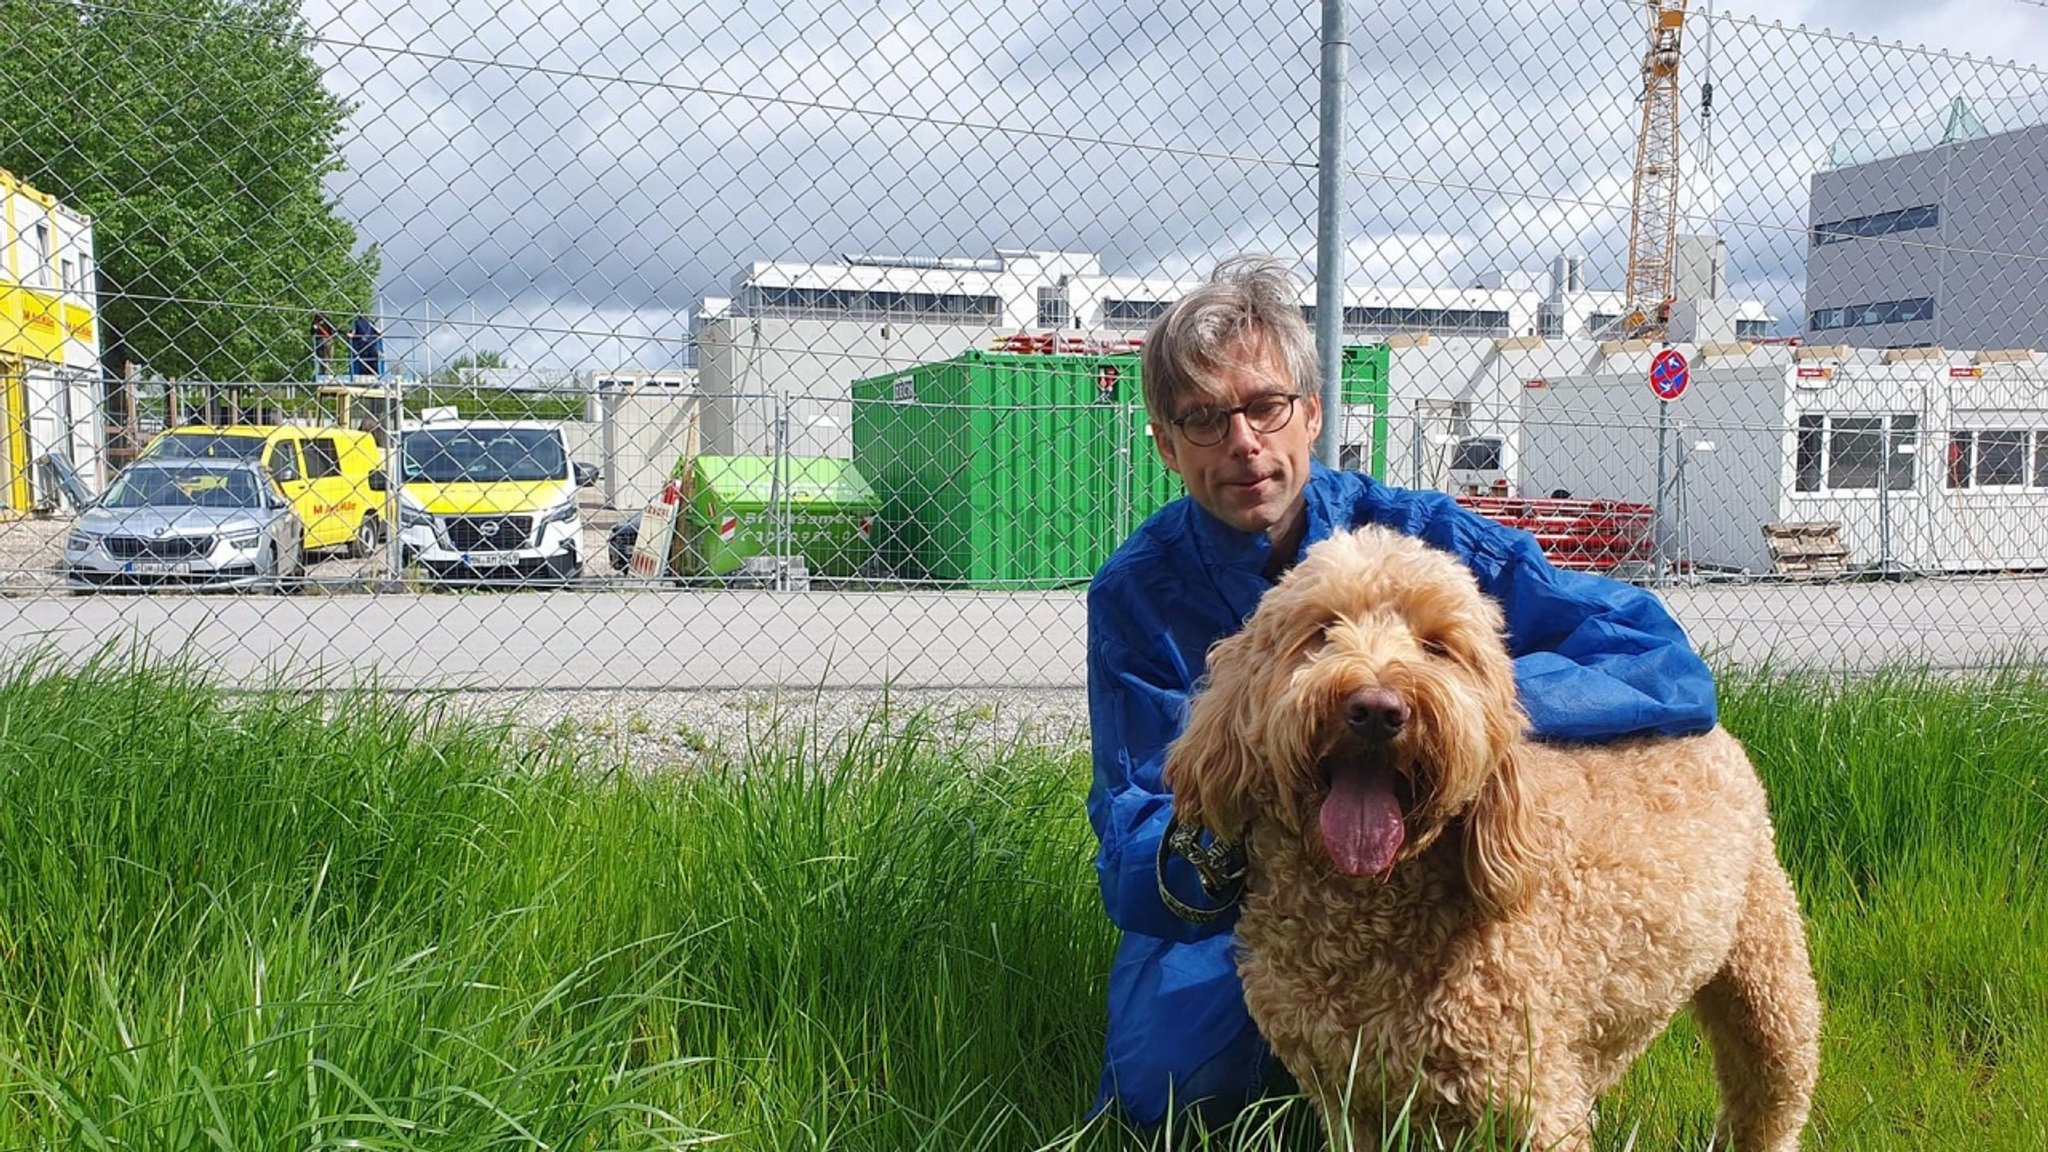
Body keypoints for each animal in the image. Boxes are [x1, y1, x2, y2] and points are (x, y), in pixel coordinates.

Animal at [1171, 528, 1826, 1147]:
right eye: (1322, 630)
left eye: (1438, 646)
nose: (1377, 708)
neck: (1364, 911)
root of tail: (1713, 726)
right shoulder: (1346, 1094)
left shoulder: (1530, 1095)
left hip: (1769, 975)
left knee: (1771, 1097)